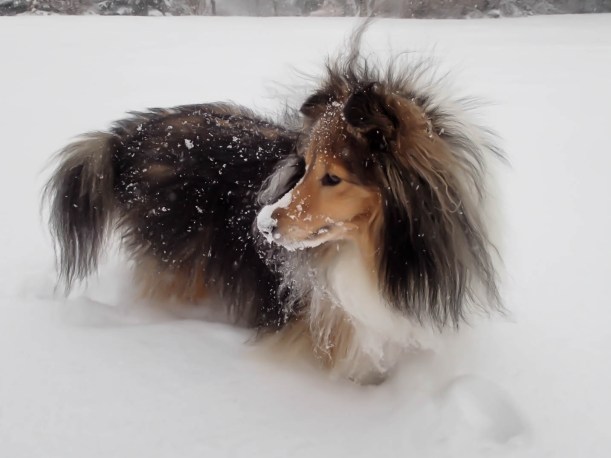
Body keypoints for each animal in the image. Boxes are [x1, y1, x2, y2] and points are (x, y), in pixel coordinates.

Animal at [44, 31, 503, 384]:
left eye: (333, 177)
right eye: (306, 167)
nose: (262, 226)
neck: (365, 254)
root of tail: (129, 136)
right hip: (179, 263)